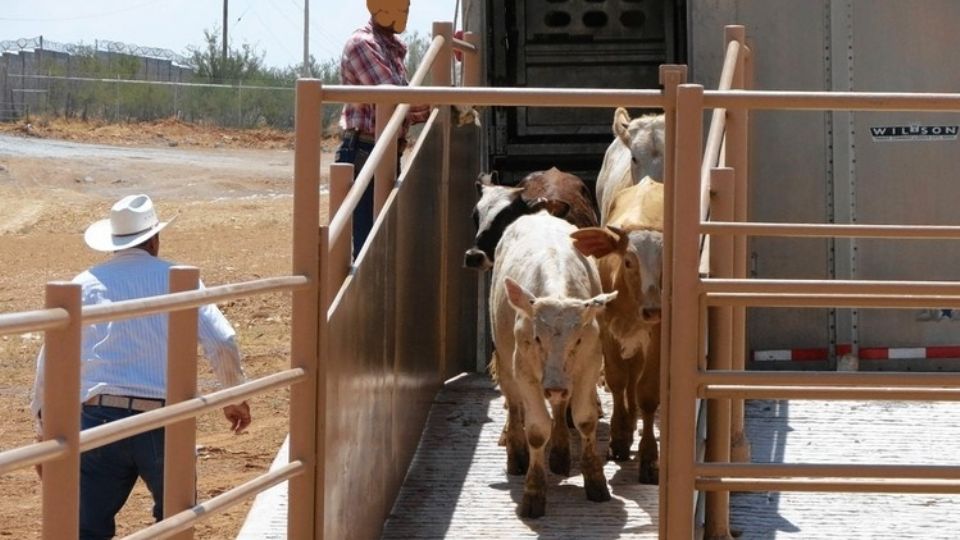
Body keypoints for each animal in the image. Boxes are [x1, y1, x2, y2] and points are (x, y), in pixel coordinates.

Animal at [488, 210, 616, 520]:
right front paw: (534, 492)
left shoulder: (589, 364)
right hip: (508, 361)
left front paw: (595, 480)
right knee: (515, 405)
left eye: (578, 339)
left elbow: (584, 419)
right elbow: (536, 430)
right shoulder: (524, 370)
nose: (555, 386)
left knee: (559, 408)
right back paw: (517, 454)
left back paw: (559, 453)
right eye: (536, 337)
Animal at [568, 177, 664, 486]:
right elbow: (618, 380)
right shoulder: (607, 331)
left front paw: (649, 457)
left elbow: (647, 393)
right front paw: (619, 436)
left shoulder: (657, 334)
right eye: (628, 261)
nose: (653, 309)